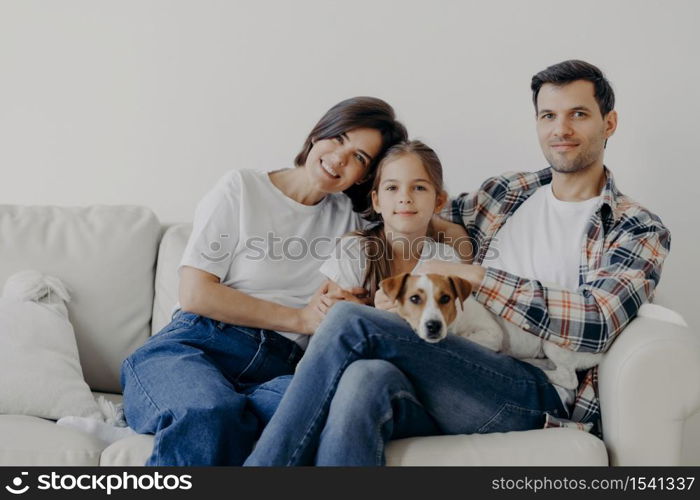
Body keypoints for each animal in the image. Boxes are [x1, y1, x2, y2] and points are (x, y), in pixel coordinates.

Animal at [380, 274, 604, 390]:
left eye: (445, 298)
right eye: (414, 299)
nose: (433, 326)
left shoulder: (493, 334)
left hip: (554, 339)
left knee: (569, 378)